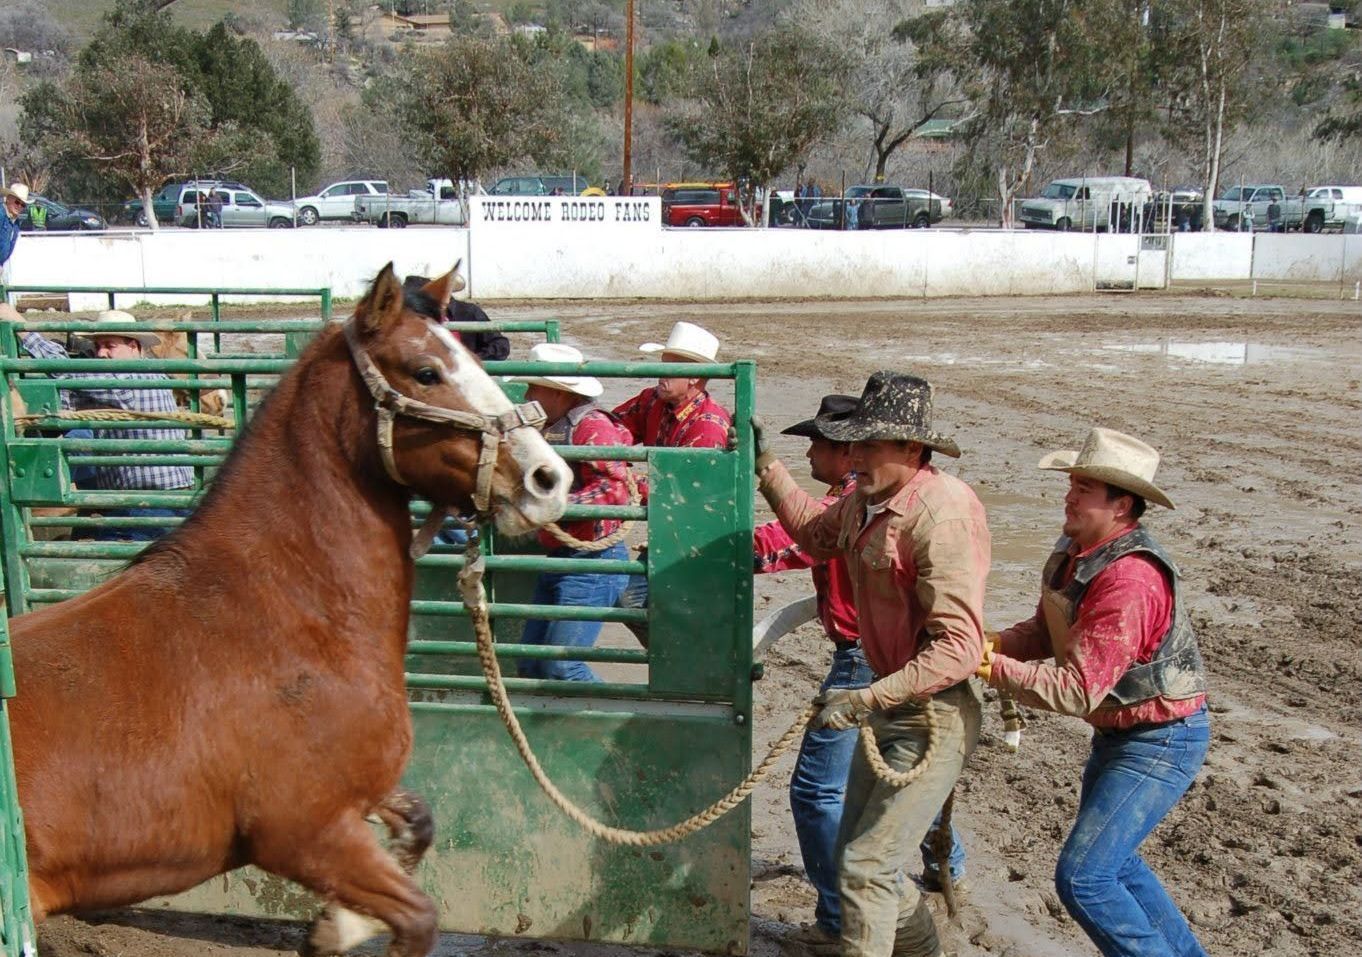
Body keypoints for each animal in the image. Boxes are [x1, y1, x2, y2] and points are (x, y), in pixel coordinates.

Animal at [6, 264, 569, 957]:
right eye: (426, 371)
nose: (549, 479)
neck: (286, 614)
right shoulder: (305, 834)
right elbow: (417, 916)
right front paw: (345, 925)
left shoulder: (357, 798)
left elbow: (420, 822)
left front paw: (337, 923)